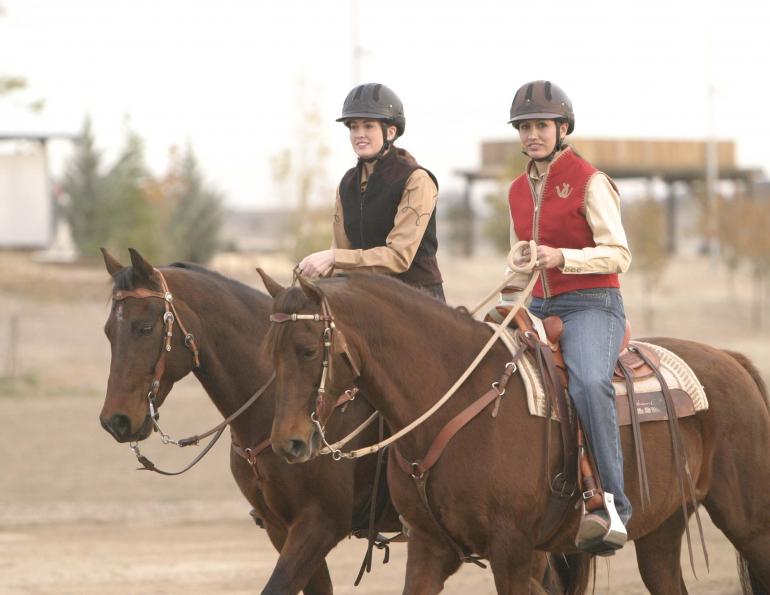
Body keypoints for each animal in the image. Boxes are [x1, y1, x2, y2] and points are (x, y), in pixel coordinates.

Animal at [261, 270, 770, 595]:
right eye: (270, 352)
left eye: (307, 349)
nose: (288, 442)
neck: (455, 399)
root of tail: (730, 359)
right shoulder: (428, 548)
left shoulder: (512, 552)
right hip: (661, 531)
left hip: (750, 525)